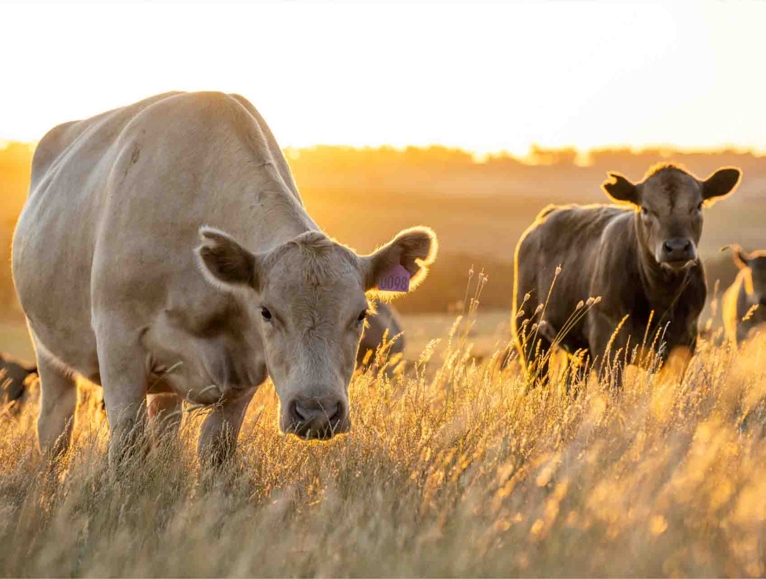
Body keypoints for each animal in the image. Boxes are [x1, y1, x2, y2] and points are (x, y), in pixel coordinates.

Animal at [12, 92, 438, 463]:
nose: (316, 412)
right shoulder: (119, 343)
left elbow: (216, 449)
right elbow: (128, 446)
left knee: (166, 428)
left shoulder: (247, 367)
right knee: (55, 427)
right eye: (267, 312)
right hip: (46, 348)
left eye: (361, 315)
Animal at [512, 163, 741, 388]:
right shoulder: (607, 346)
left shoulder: (683, 346)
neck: (661, 299)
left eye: (698, 205)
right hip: (529, 331)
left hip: (577, 349)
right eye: (646, 209)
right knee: (538, 380)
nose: (677, 247)